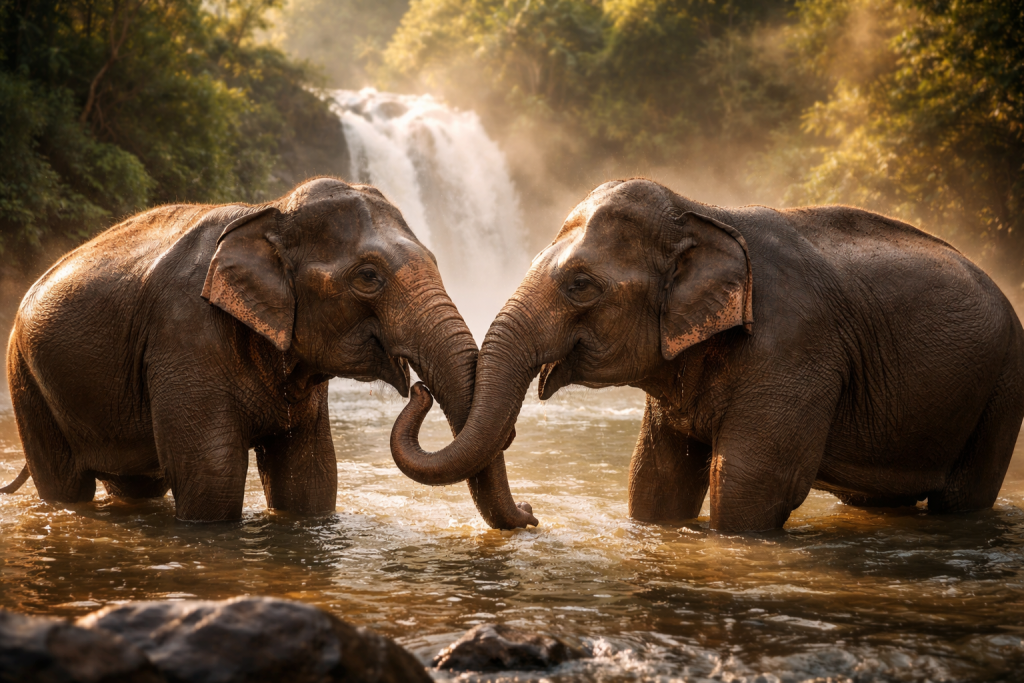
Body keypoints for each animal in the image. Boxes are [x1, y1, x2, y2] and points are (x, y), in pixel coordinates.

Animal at [0, 177, 537, 527]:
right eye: (368, 276)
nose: (531, 512)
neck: (266, 212)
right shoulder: (184, 336)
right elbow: (213, 474)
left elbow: (310, 477)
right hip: (26, 378)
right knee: (66, 484)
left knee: (136, 484)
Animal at [390, 178, 1024, 532]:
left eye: (581, 285)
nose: (531, 512)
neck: (704, 212)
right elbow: (658, 477)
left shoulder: (795, 349)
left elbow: (751, 480)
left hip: (1003, 386)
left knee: (964, 495)